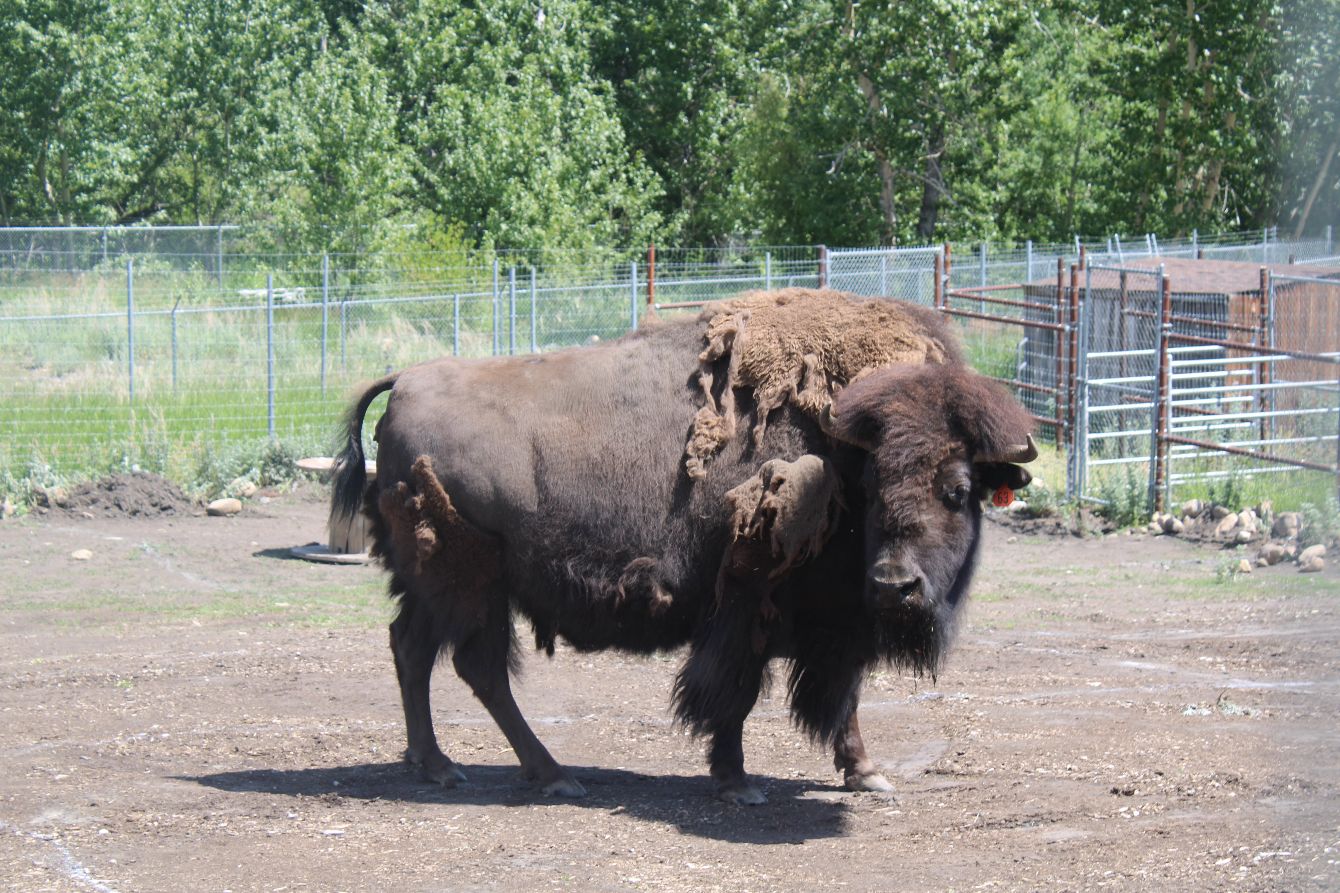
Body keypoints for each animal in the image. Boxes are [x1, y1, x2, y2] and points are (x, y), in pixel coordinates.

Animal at [331, 288, 1036, 804]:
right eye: (872, 484)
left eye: (959, 489)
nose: (897, 584)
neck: (840, 446)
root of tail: (405, 382)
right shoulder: (752, 603)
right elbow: (737, 692)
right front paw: (736, 781)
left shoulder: (838, 621)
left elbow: (845, 695)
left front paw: (865, 773)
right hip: (468, 582)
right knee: (474, 666)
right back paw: (548, 774)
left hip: (440, 584)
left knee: (415, 650)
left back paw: (439, 764)